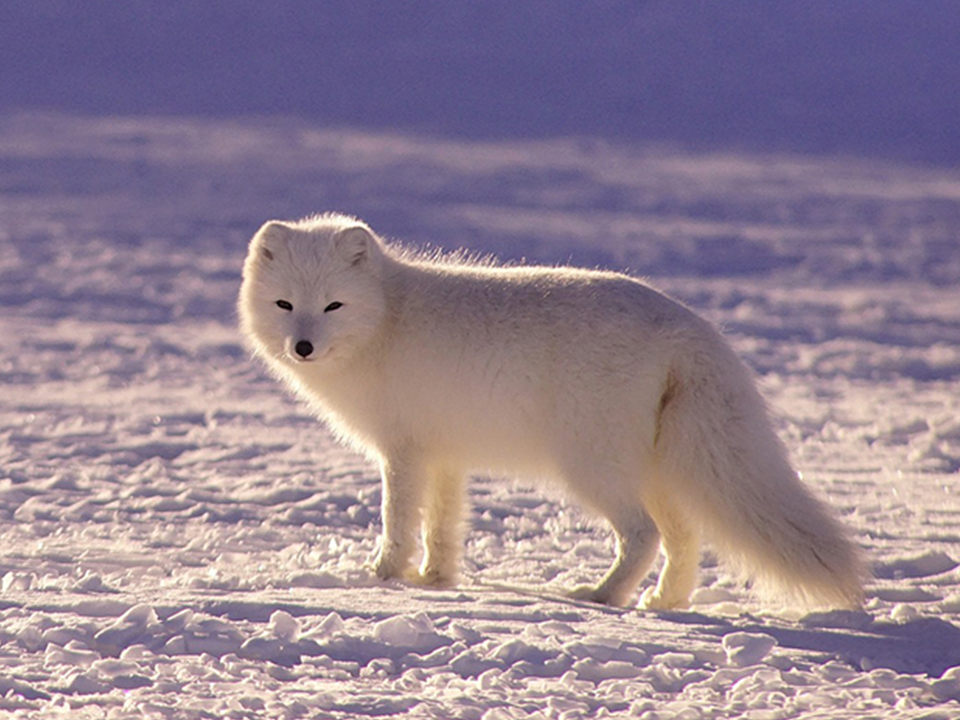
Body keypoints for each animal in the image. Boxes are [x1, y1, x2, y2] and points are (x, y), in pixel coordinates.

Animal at [242, 211, 872, 612]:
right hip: (658, 471)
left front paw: (383, 576)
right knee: (685, 539)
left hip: (591, 467)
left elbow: (398, 520)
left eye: (333, 306)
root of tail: (689, 327)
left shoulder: (404, 453)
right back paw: (664, 601)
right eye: (285, 305)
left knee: (643, 534)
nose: (303, 346)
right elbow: (443, 525)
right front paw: (435, 580)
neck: (387, 320)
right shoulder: (444, 455)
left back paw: (604, 596)